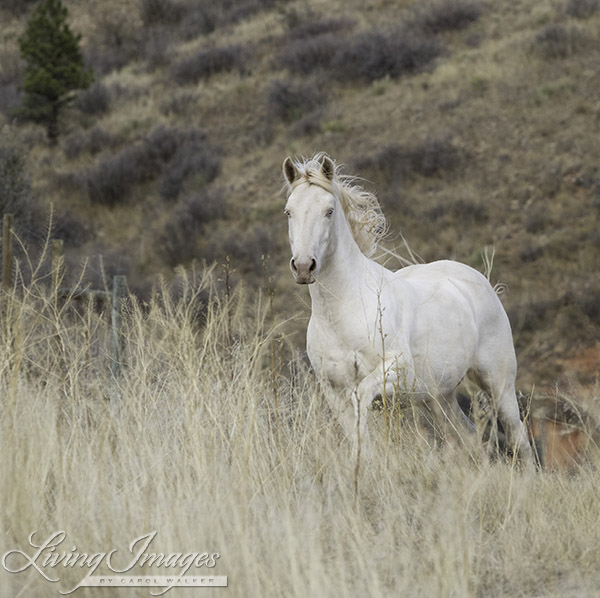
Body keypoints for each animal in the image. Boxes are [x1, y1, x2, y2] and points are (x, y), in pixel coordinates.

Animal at [284, 154, 532, 464]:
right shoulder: (332, 390)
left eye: (329, 211)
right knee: (469, 435)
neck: (343, 311)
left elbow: (361, 402)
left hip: (498, 383)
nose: (304, 266)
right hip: (440, 397)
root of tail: (482, 282)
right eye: (288, 212)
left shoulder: (395, 370)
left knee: (518, 438)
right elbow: (353, 430)